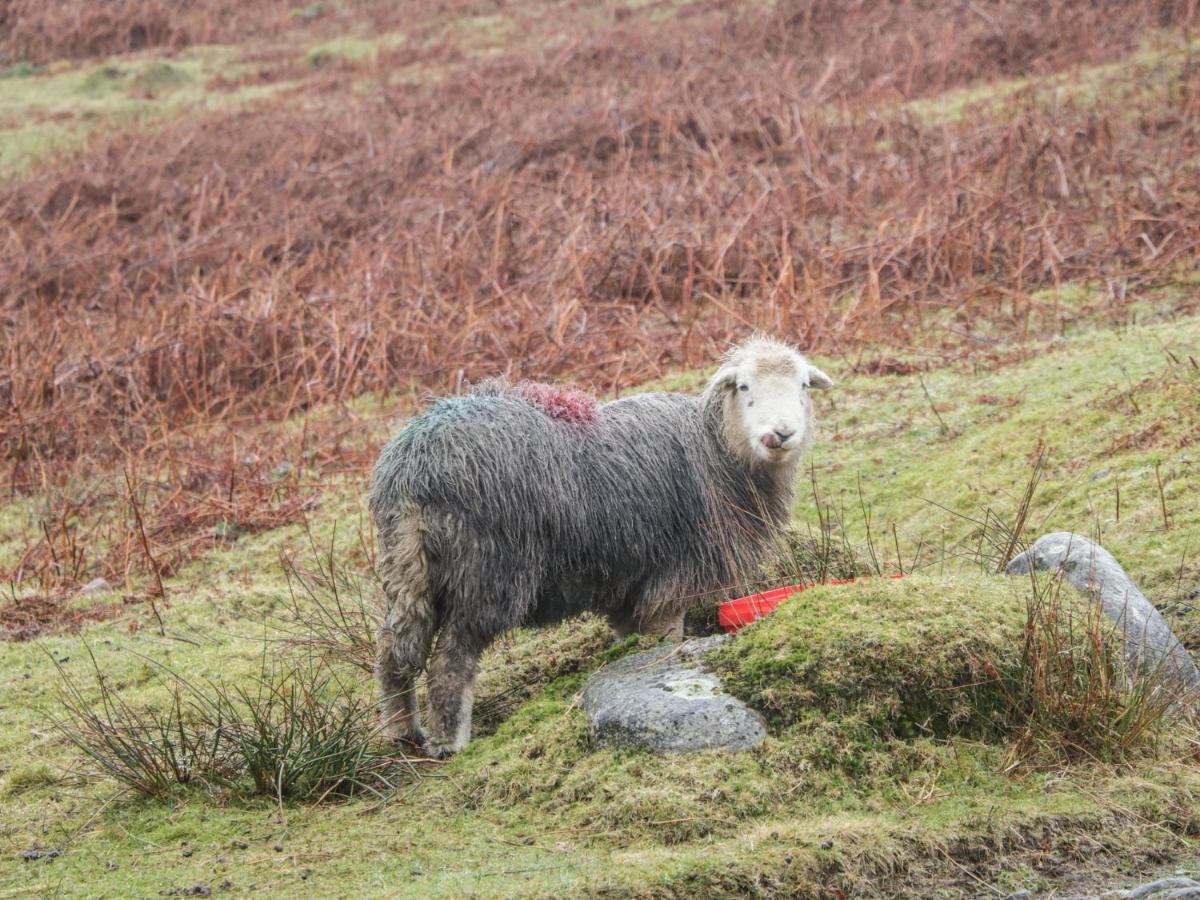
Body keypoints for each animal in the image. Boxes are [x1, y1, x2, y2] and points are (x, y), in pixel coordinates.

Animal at [369, 336, 830, 758]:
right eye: (743, 386)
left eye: (803, 385)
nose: (781, 434)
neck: (717, 449)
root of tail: (417, 465)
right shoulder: (672, 578)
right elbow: (665, 640)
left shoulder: (628, 585)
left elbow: (631, 639)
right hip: (487, 570)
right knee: (452, 659)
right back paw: (450, 742)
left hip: (406, 566)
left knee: (394, 649)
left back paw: (401, 732)